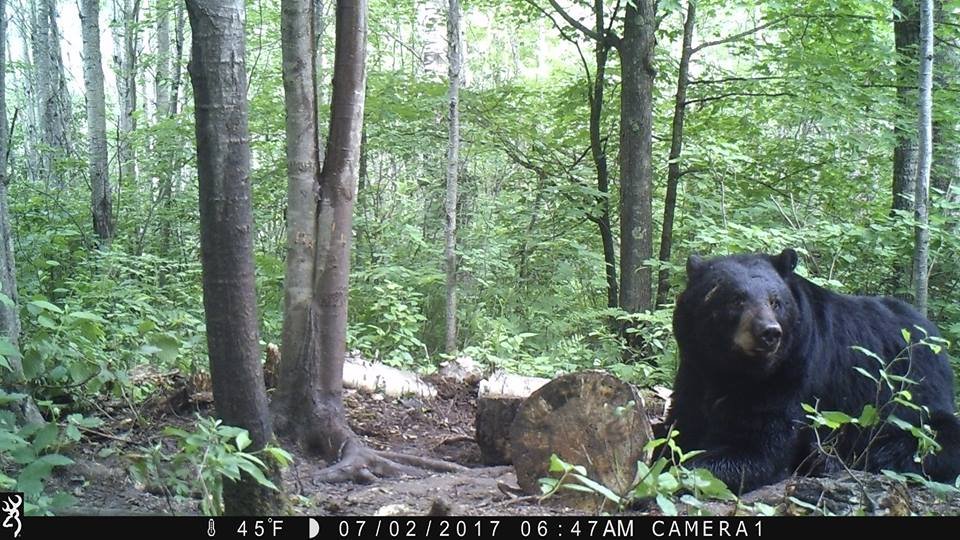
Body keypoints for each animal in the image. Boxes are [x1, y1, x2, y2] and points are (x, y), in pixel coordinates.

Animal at [663, 248, 960, 493]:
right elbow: (680, 426)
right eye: (736, 299)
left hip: (919, 400)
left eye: (775, 301)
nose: (769, 333)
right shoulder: (695, 369)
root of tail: (935, 337)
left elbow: (760, 448)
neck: (731, 369)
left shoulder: (791, 376)